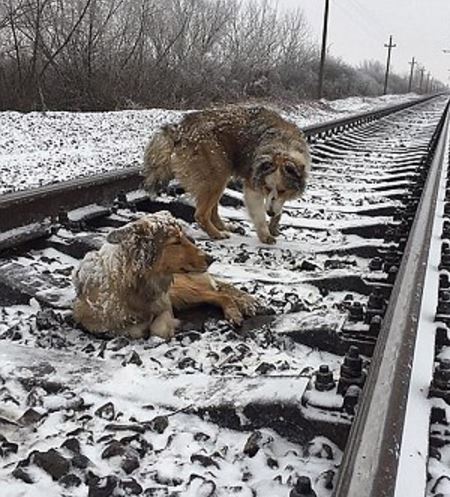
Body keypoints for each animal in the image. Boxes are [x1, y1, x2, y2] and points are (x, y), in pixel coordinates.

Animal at [72, 211, 258, 340]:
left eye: (184, 237)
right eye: (176, 242)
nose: (211, 259)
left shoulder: (165, 304)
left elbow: (158, 329)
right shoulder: (92, 322)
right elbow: (131, 329)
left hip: (182, 291)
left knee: (221, 294)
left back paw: (235, 312)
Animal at [142, 105, 312, 244]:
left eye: (283, 190)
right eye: (266, 188)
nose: (269, 212)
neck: (282, 146)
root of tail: (180, 129)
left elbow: (278, 206)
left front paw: (274, 224)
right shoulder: (252, 185)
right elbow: (259, 213)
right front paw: (265, 234)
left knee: (213, 211)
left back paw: (226, 227)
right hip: (216, 175)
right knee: (201, 214)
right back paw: (216, 234)